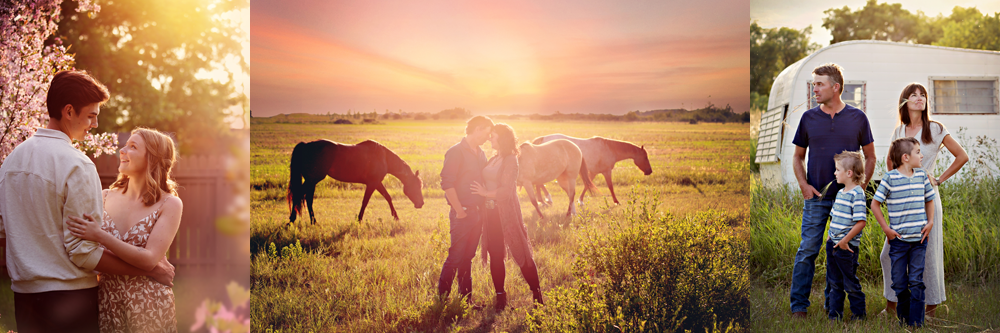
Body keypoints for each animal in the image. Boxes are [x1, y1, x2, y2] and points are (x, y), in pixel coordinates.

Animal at [286, 139, 422, 222]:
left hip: (311, 181)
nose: (421, 203)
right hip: (312, 179)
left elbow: (388, 197)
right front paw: (359, 220)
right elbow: (365, 202)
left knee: (307, 199)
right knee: (299, 195)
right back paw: (292, 220)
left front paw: (396, 217)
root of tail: (305, 145)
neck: (384, 157)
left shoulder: (377, 183)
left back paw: (313, 222)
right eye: (418, 186)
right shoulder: (372, 184)